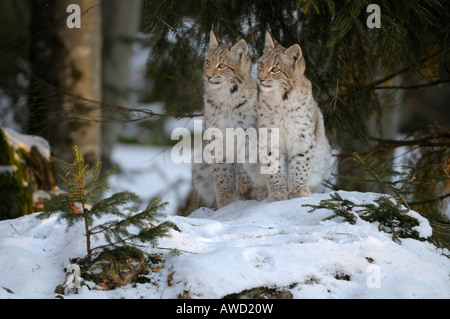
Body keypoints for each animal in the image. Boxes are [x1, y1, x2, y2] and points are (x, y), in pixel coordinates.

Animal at [192, 31, 258, 208]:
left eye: (222, 66)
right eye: (208, 62)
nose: (207, 76)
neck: (226, 98)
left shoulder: (247, 133)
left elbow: (244, 167)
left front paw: (242, 192)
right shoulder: (215, 137)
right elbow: (220, 173)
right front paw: (225, 200)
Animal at [255, 33, 328, 202]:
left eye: (275, 69)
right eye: (261, 64)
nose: (260, 79)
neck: (283, 102)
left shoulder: (302, 136)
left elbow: (300, 165)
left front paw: (298, 191)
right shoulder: (269, 135)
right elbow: (273, 166)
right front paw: (277, 193)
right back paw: (262, 191)